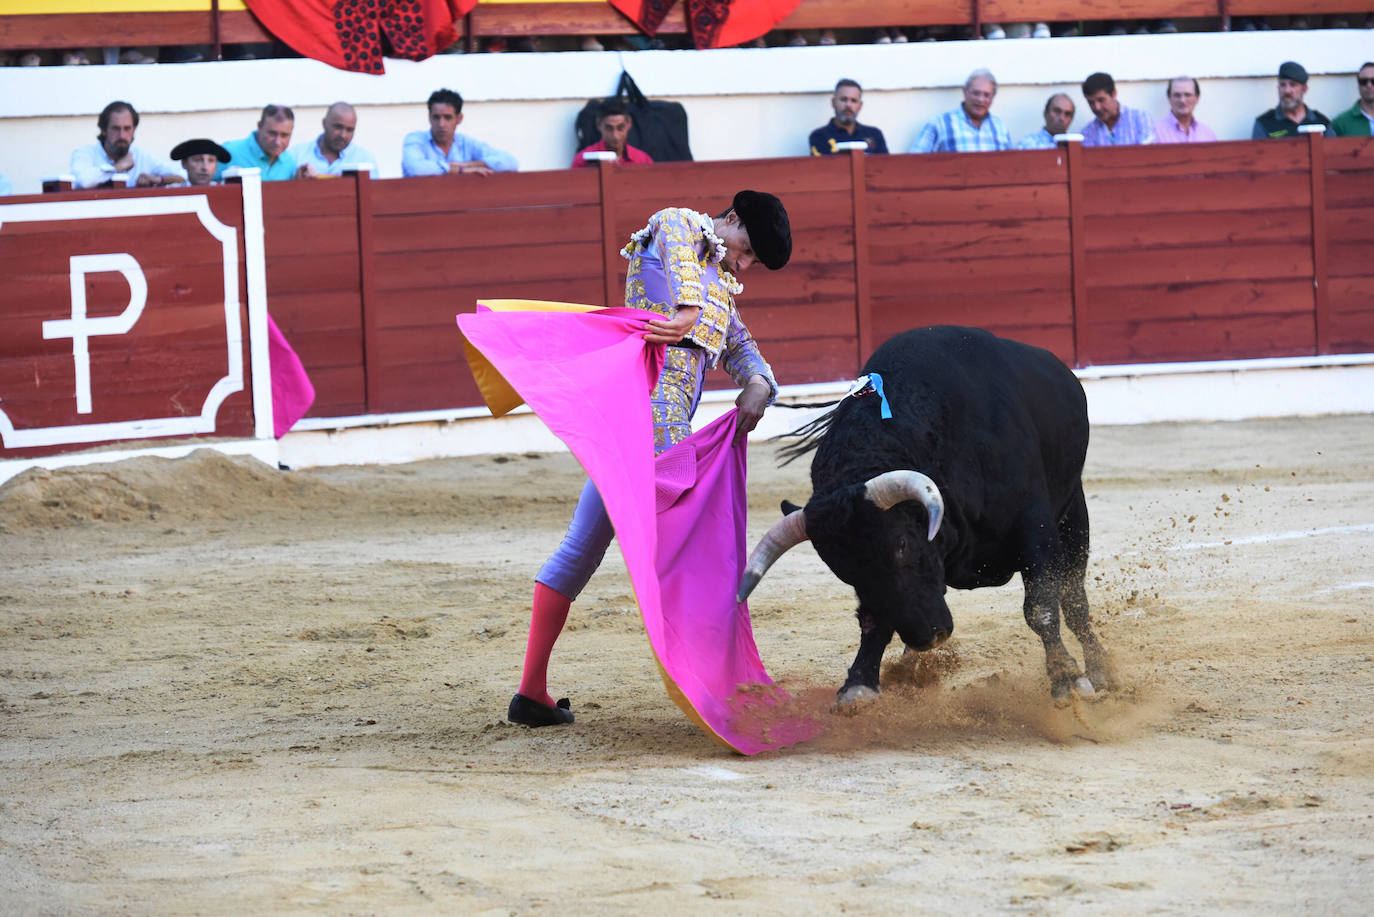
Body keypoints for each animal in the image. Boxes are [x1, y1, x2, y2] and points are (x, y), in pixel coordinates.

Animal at [741, 325, 1115, 709]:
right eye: (844, 572)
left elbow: (1041, 608)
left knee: (1074, 600)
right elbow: (875, 618)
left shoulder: (1034, 529)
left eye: (902, 545)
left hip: (1073, 513)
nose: (927, 638)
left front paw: (1067, 679)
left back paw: (1100, 671)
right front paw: (859, 684)